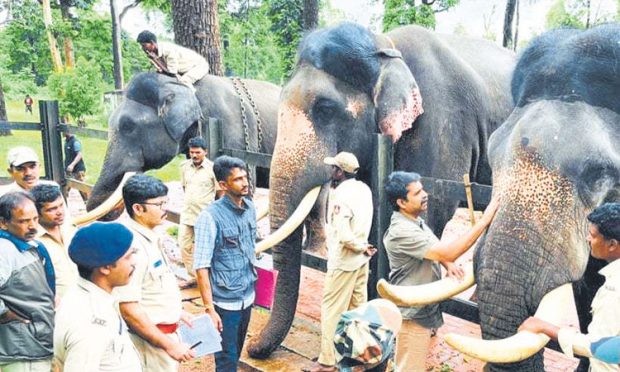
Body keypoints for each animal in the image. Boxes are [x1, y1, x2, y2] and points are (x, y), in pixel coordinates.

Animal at [245, 22, 516, 358]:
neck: (385, 47)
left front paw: (420, 327)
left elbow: (433, 210)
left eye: (325, 109)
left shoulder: (441, 124)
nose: (252, 347)